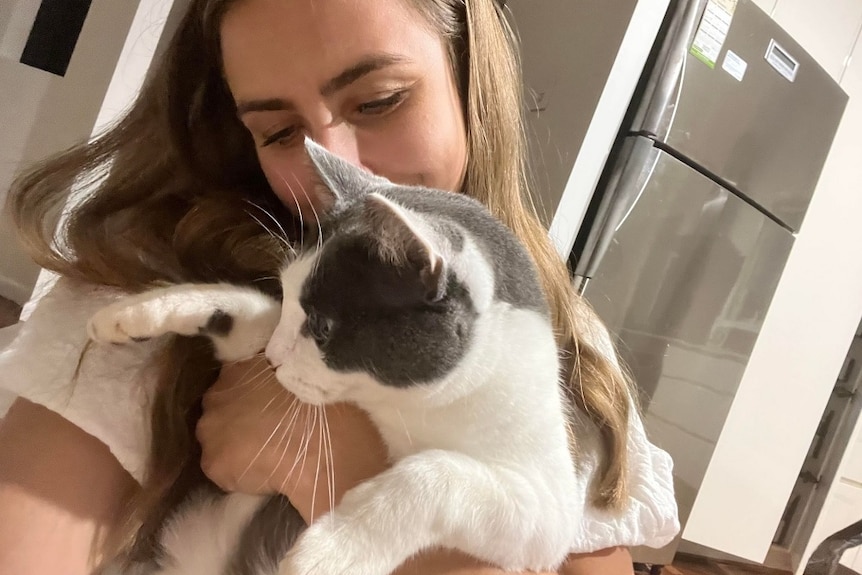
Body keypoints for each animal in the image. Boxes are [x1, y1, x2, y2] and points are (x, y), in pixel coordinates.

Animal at [89, 140, 580, 575]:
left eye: (323, 327)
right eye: (287, 294)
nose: (273, 359)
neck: (408, 408)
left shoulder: (545, 512)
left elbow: (438, 474)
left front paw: (332, 551)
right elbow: (249, 316)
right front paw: (135, 312)